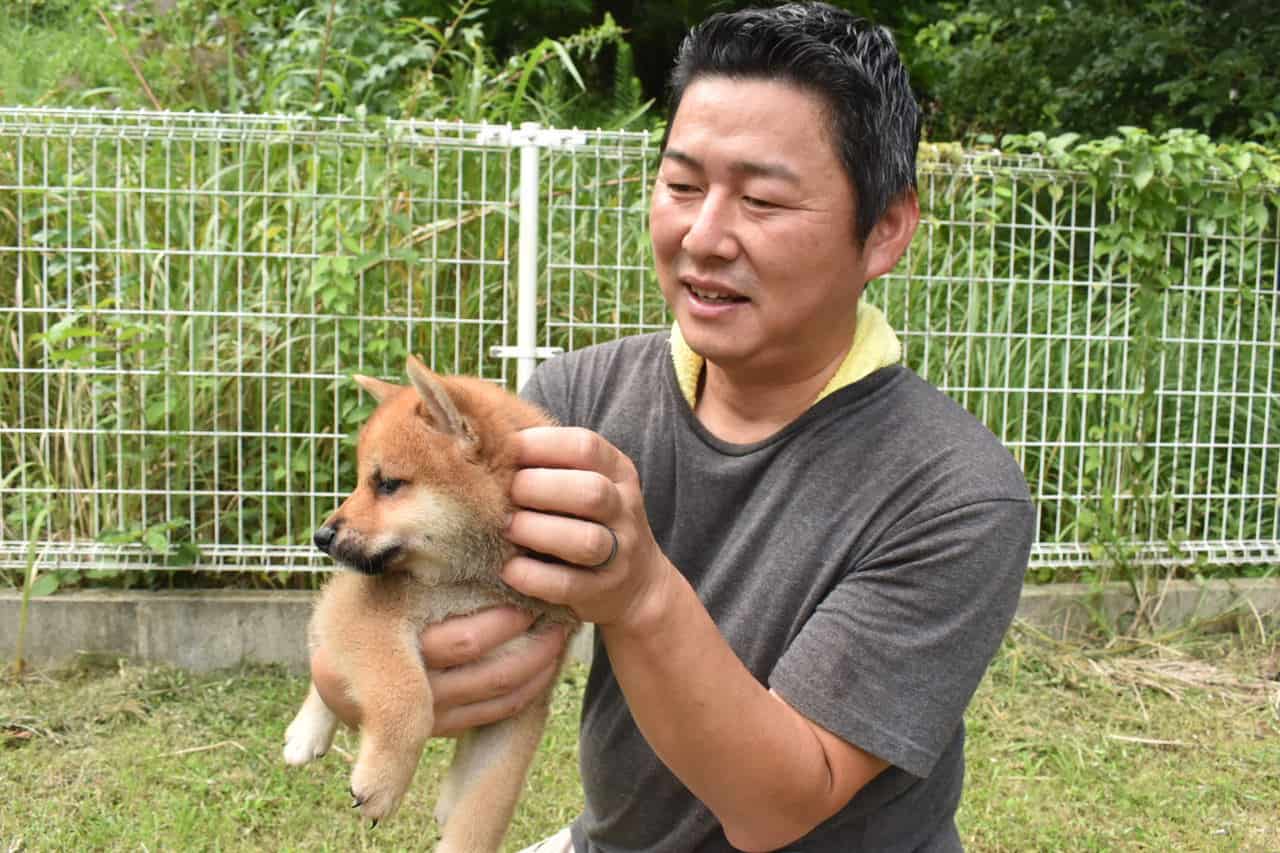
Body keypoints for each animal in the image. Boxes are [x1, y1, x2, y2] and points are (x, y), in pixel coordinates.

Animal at [285, 353, 581, 850]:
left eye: (387, 484)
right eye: (363, 481)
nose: (321, 536)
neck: (476, 584)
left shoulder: (522, 704)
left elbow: (482, 816)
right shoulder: (369, 615)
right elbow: (409, 696)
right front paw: (383, 782)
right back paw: (307, 732)